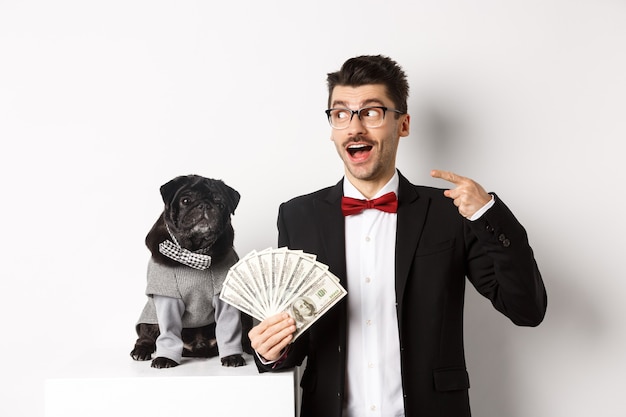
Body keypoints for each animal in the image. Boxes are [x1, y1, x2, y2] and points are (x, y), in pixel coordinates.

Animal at [129, 174, 249, 368]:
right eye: (186, 200)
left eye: (220, 203)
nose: (205, 205)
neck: (194, 252)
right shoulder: (168, 298)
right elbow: (168, 333)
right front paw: (165, 358)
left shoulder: (223, 297)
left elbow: (229, 330)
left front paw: (232, 356)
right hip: (149, 316)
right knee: (146, 336)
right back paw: (141, 351)